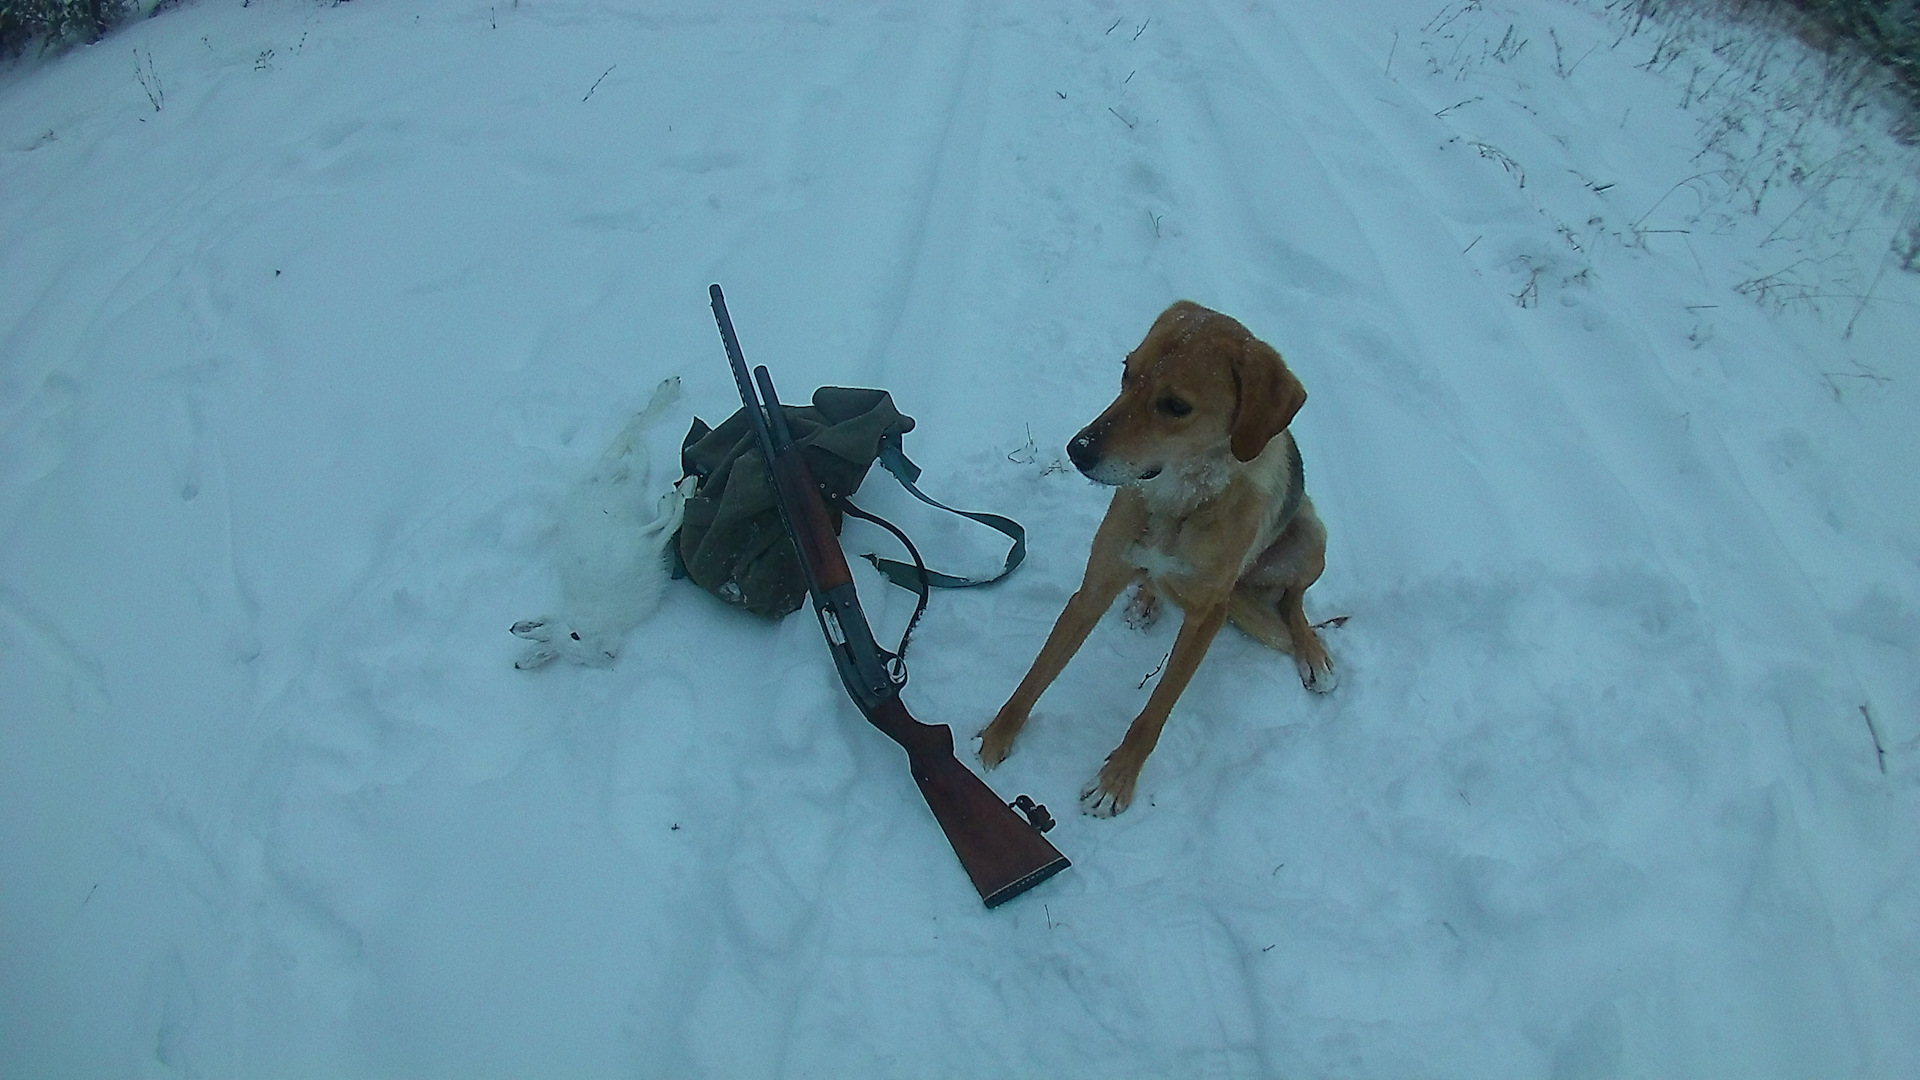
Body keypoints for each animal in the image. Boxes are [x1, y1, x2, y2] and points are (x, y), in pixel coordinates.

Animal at [975, 297, 1336, 810]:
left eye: (1175, 406)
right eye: (1127, 372)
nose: (1077, 450)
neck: (1180, 503)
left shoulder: (1207, 616)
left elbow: (1156, 709)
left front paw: (1117, 780)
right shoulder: (1096, 585)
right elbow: (1040, 671)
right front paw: (999, 735)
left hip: (1311, 537)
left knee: (1293, 600)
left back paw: (1312, 653)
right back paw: (1148, 596)